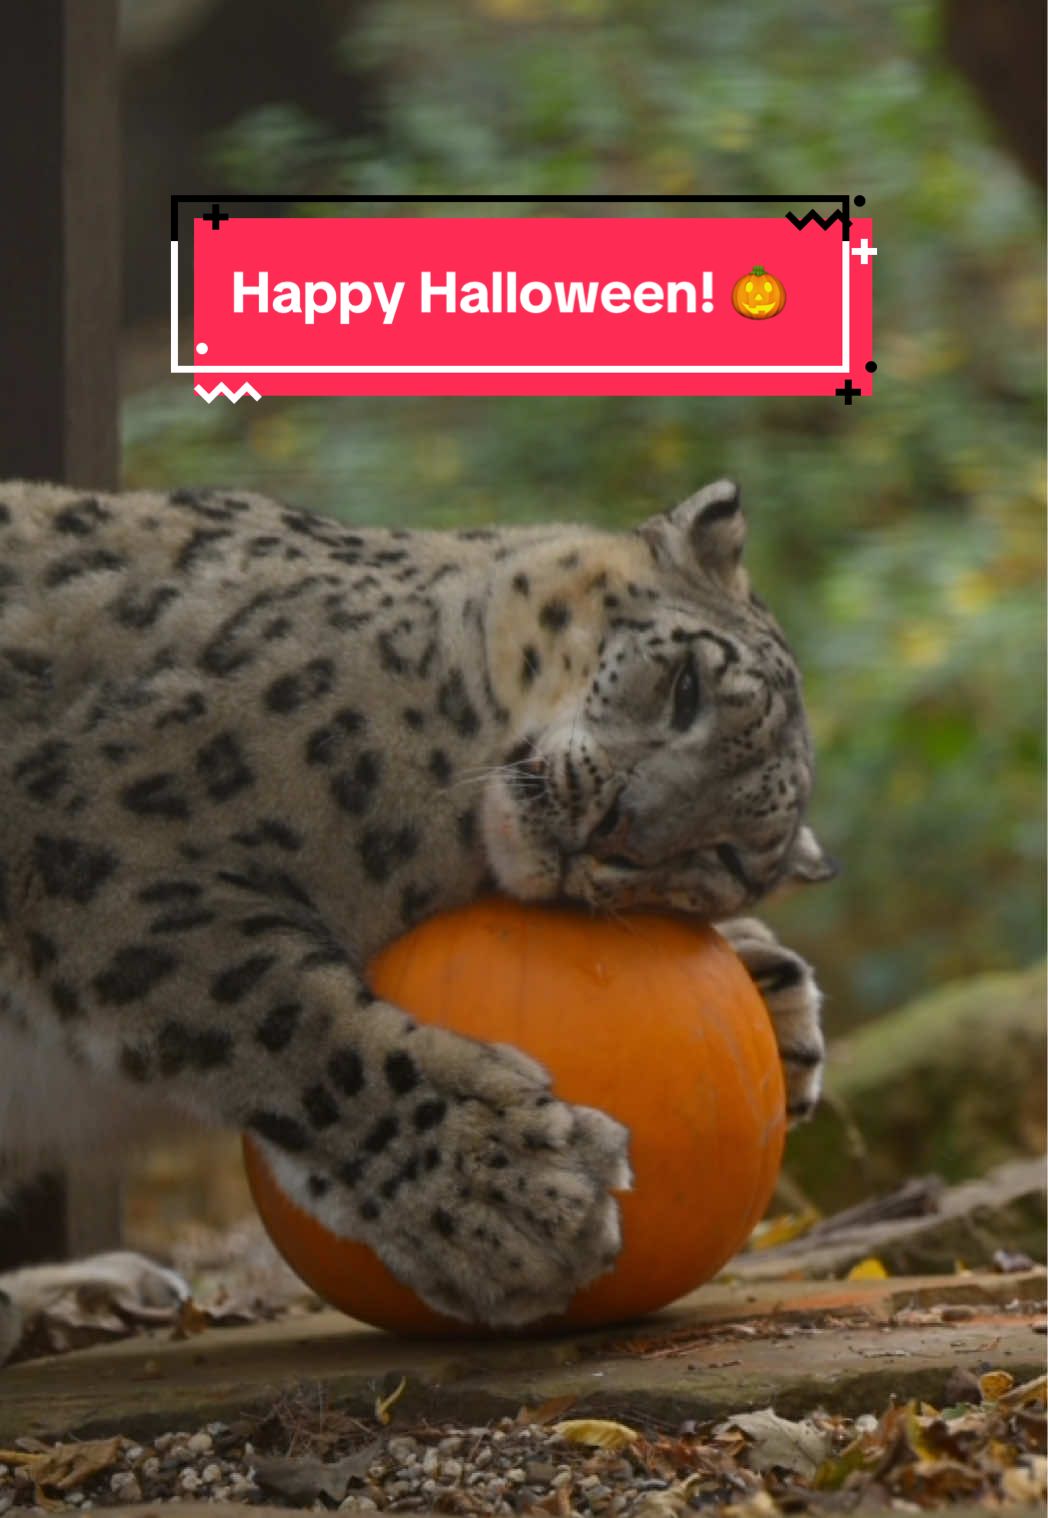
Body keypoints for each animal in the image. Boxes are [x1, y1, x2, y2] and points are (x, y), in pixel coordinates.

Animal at [0, 476, 833, 1356]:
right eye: (687, 687)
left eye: (730, 855)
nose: (618, 827)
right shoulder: (102, 838)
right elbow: (284, 1016)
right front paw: (510, 1191)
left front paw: (782, 1011)